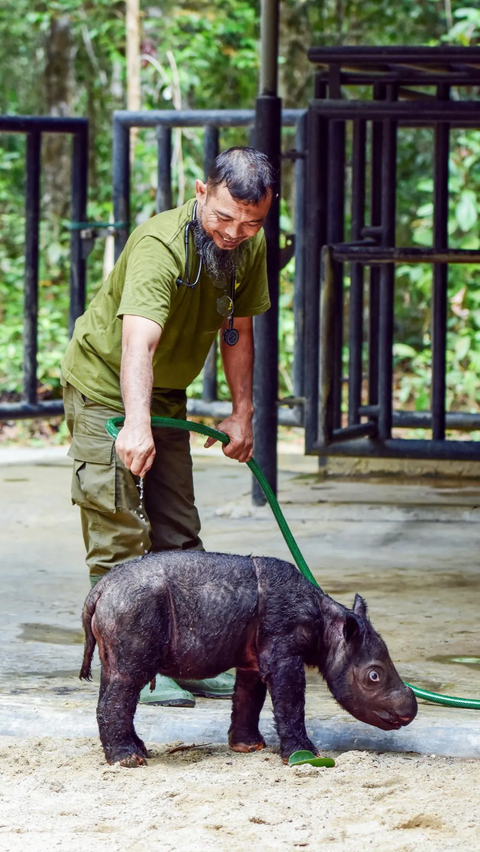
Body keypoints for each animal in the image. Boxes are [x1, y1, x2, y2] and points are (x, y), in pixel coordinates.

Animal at [81, 552, 416, 764]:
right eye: (374, 676)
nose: (409, 712)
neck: (328, 626)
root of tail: (99, 590)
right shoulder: (284, 653)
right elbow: (291, 702)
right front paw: (305, 755)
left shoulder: (254, 658)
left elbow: (249, 697)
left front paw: (248, 746)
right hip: (133, 607)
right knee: (128, 679)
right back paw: (128, 760)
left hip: (122, 609)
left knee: (114, 676)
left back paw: (138, 752)